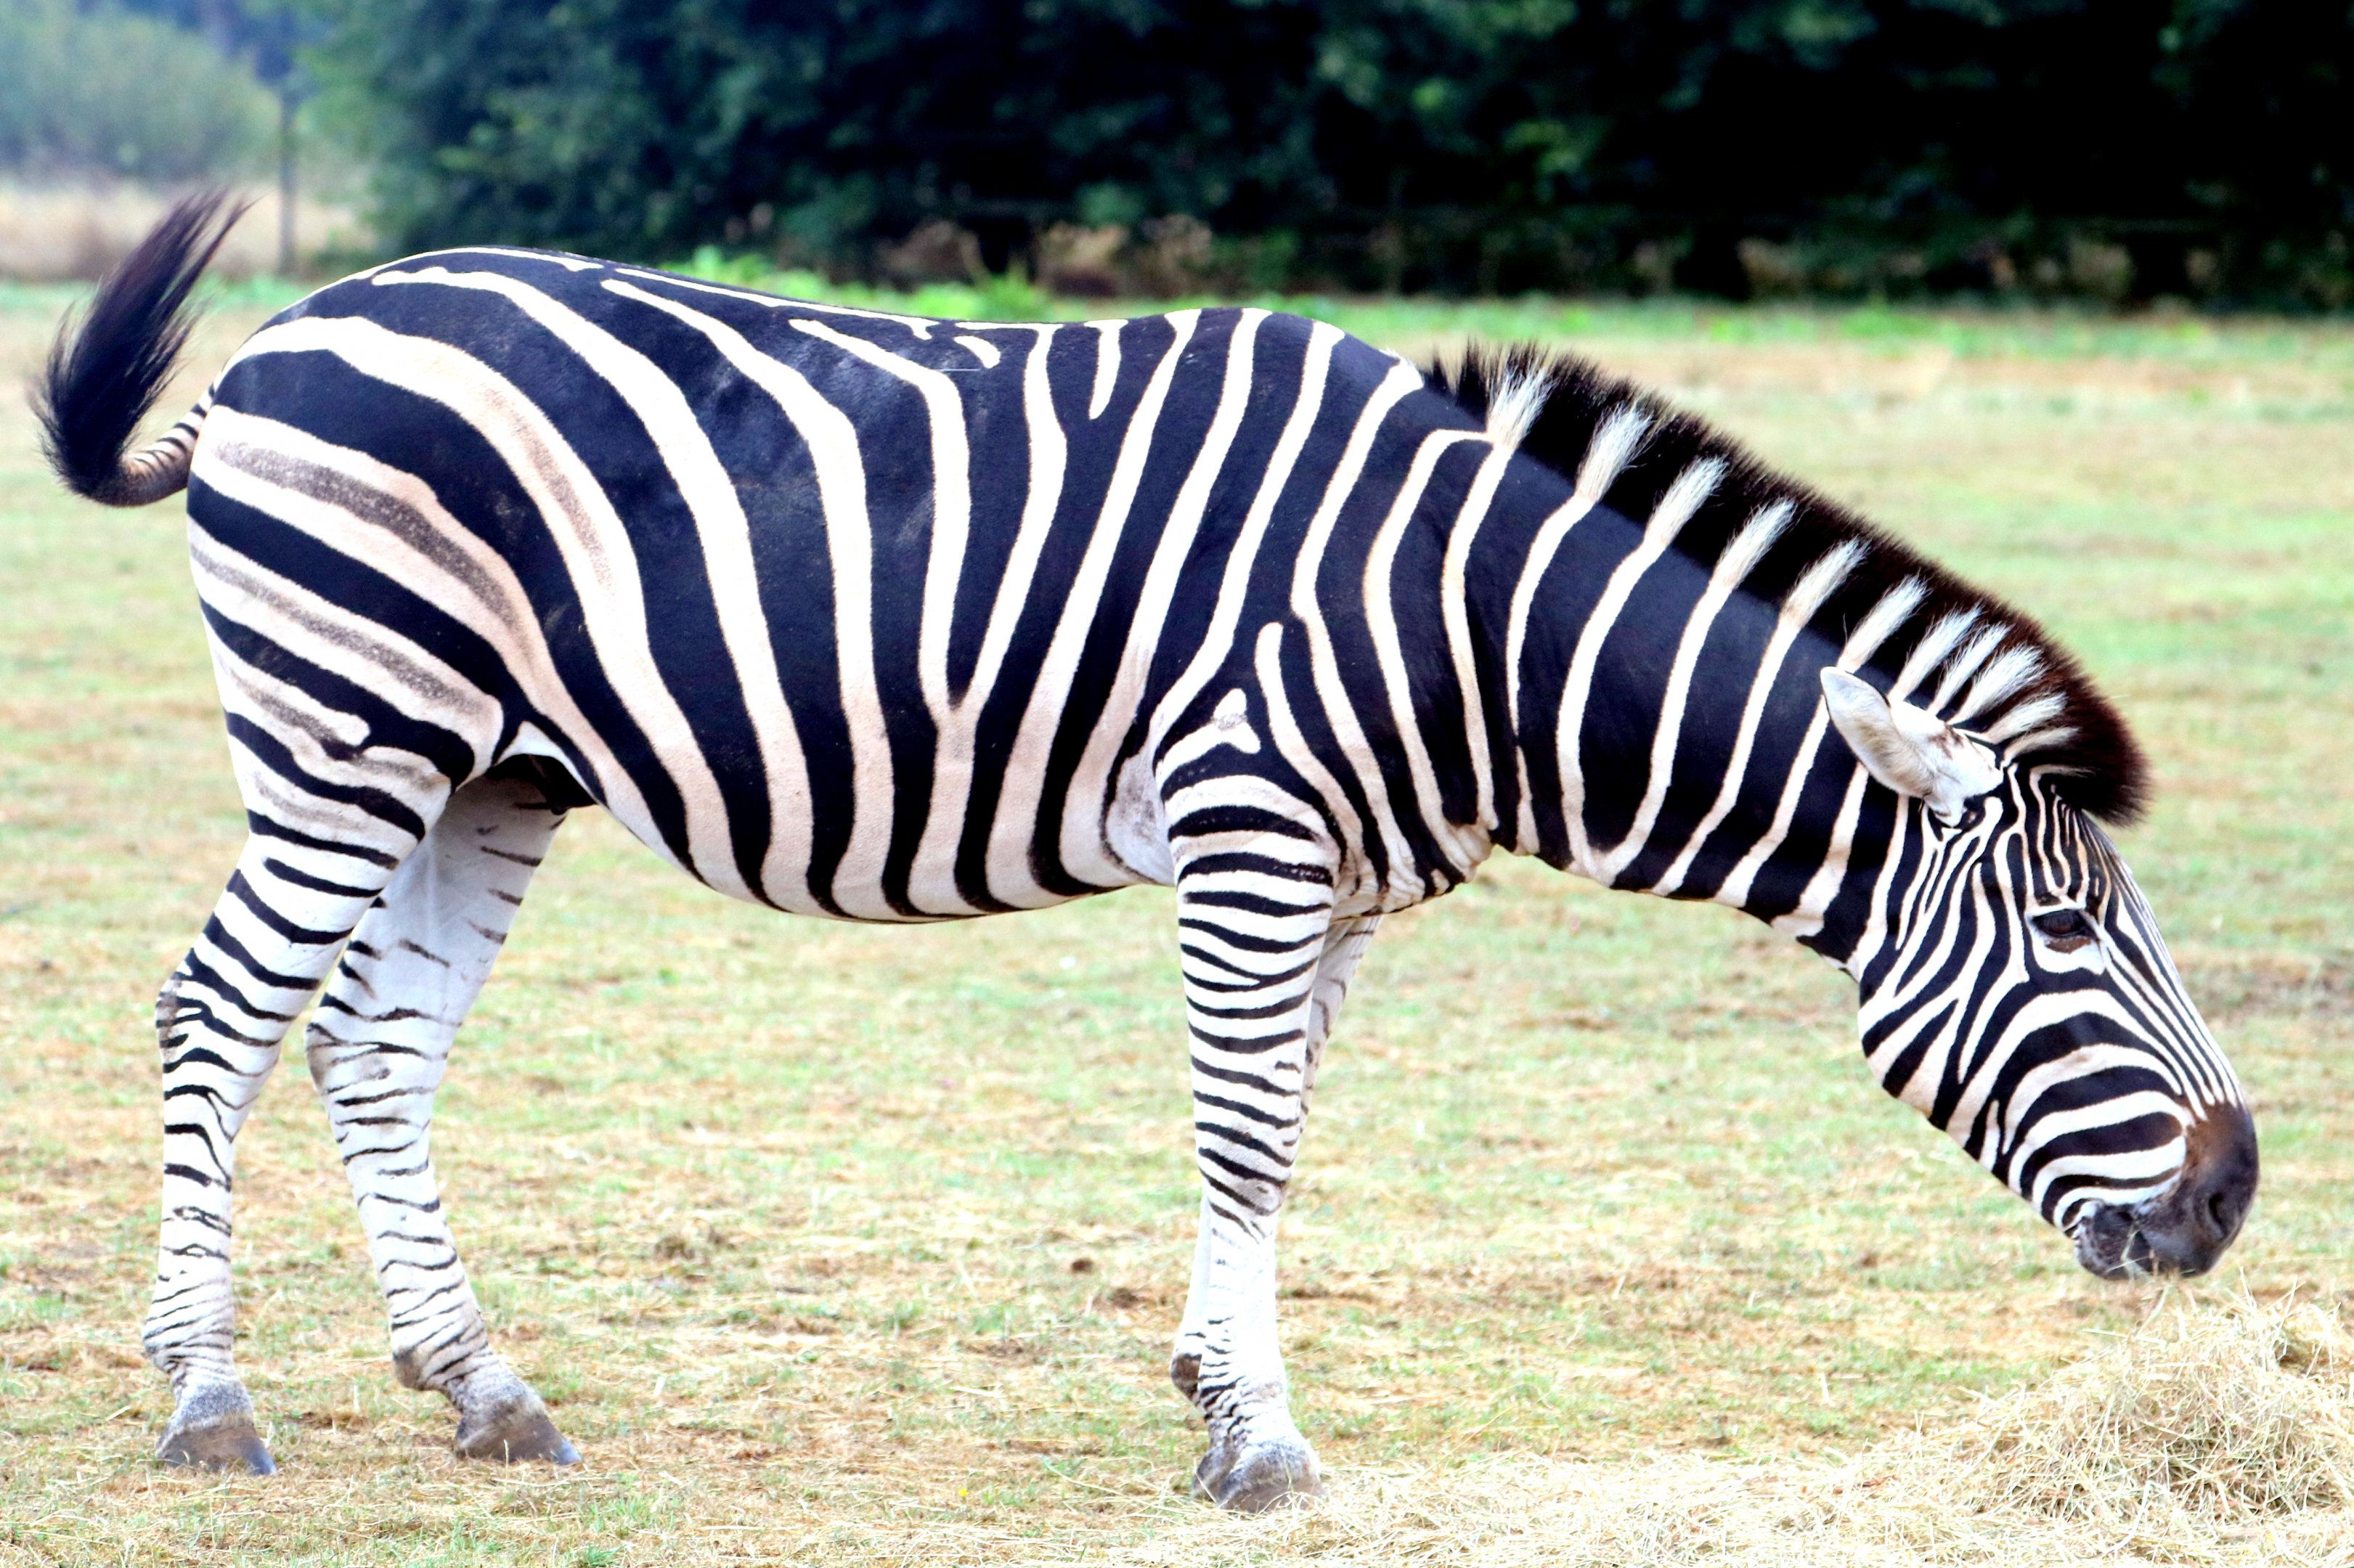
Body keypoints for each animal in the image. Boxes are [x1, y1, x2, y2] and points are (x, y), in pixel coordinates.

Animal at [35, 196, 2255, 1509]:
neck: (1470, 624)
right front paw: (1260, 1440)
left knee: (370, 1046)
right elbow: (1246, 1137)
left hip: (485, 768)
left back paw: (483, 1391)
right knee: (216, 1014)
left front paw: (1210, 1384)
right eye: (2075, 935)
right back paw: (207, 1406)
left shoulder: (1341, 885)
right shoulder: (1251, 830)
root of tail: (288, 336)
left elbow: (1280, 1136)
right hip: (347, 727)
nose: (2235, 1197)